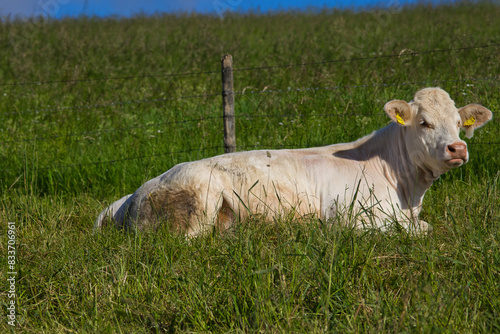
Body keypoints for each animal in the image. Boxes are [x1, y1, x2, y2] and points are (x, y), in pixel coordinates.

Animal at [96, 88, 492, 235]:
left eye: (459, 123)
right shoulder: (351, 217)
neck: (407, 192)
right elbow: (418, 231)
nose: (457, 148)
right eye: (424, 122)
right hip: (195, 208)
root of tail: (131, 197)